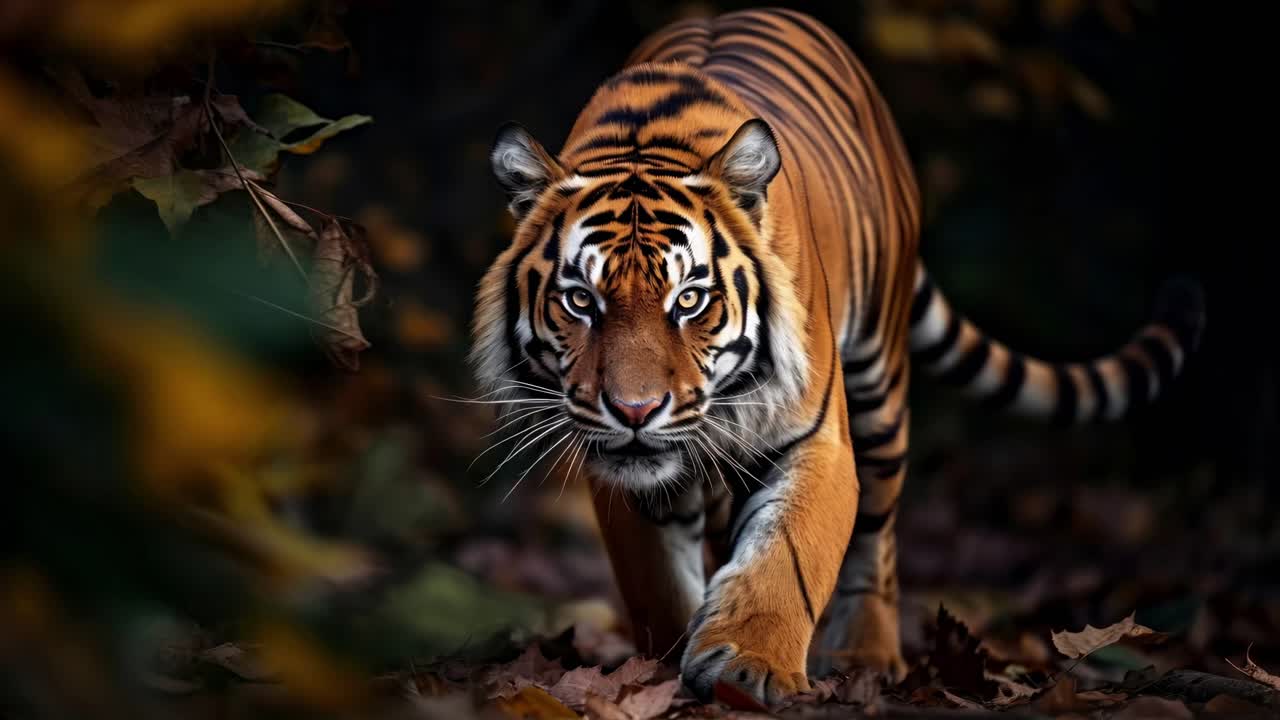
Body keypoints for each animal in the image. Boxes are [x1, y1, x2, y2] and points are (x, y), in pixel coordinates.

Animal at [470, 7, 1204, 707]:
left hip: (879, 389)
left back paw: (867, 656)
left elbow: (787, 558)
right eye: (580, 300)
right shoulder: (622, 471)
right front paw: (665, 664)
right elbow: (656, 582)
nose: (635, 409)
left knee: (876, 540)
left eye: (689, 299)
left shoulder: (816, 437)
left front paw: (750, 666)